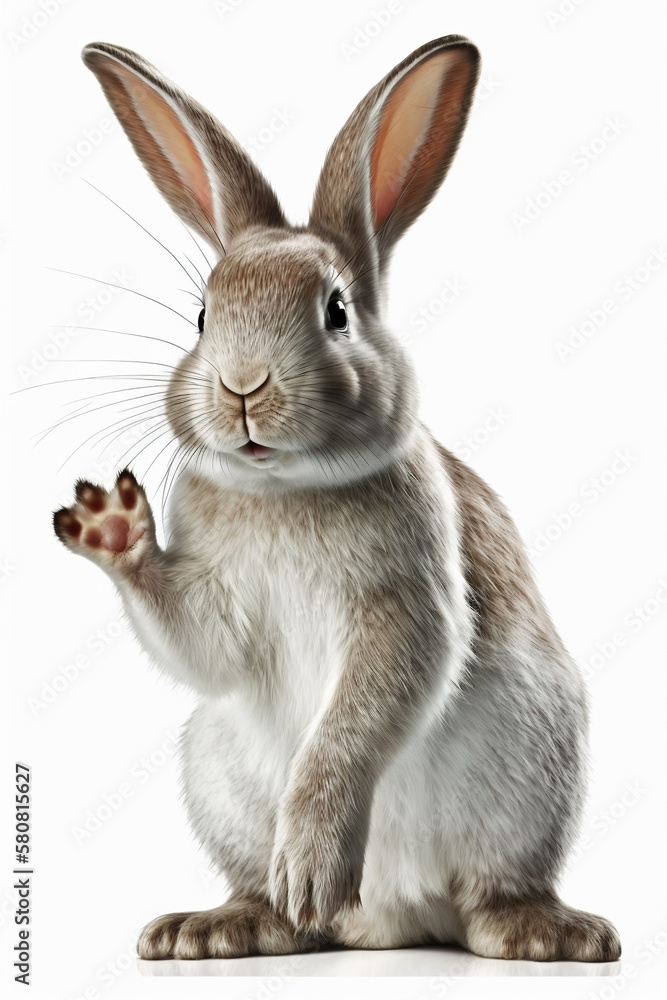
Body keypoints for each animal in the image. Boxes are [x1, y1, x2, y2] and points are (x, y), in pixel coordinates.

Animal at [53, 36, 621, 963]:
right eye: (202, 316)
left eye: (337, 311)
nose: (243, 387)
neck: (284, 489)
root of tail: (391, 921)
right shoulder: (219, 609)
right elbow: (198, 642)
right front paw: (110, 525)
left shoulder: (407, 604)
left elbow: (354, 726)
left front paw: (314, 864)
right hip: (215, 767)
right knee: (276, 903)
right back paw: (226, 924)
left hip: (534, 756)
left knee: (489, 891)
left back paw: (542, 932)